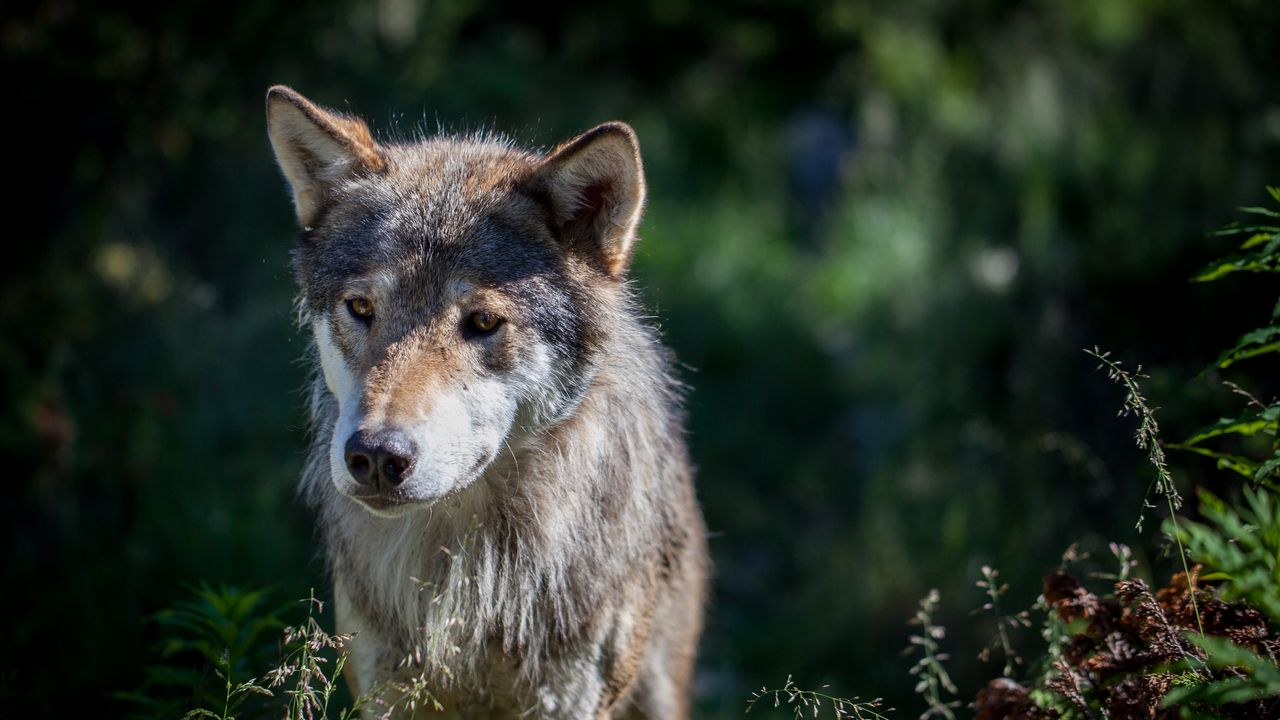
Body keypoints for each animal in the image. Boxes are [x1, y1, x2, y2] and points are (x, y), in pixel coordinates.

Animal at [264, 85, 708, 719]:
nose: (376, 456)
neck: (470, 571)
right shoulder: (387, 691)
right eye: (361, 308)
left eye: (481, 322)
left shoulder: (568, 700)